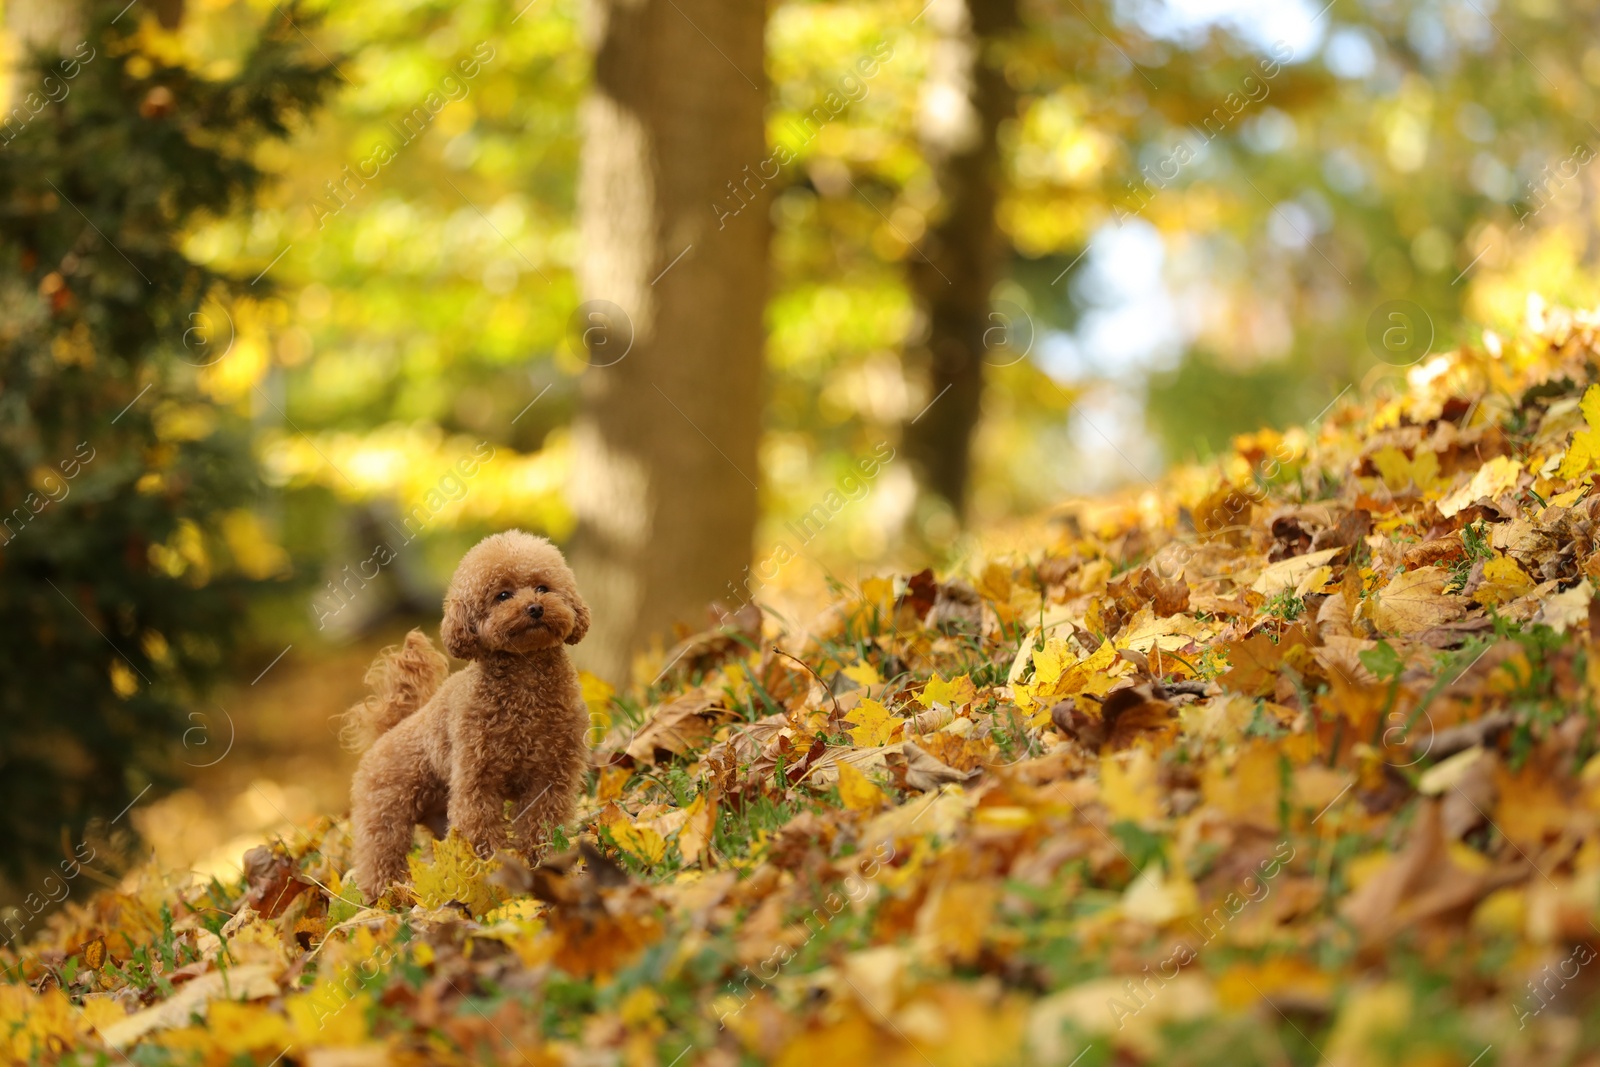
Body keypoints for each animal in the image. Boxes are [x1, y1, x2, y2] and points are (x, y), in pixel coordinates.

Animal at [347, 531, 592, 895]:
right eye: (502, 595)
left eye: (543, 587)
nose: (535, 607)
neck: (526, 685)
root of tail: (387, 733)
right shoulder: (478, 780)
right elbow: (480, 831)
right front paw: (486, 875)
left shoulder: (551, 776)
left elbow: (543, 825)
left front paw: (544, 864)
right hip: (384, 816)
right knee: (379, 856)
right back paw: (384, 896)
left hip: (437, 815)